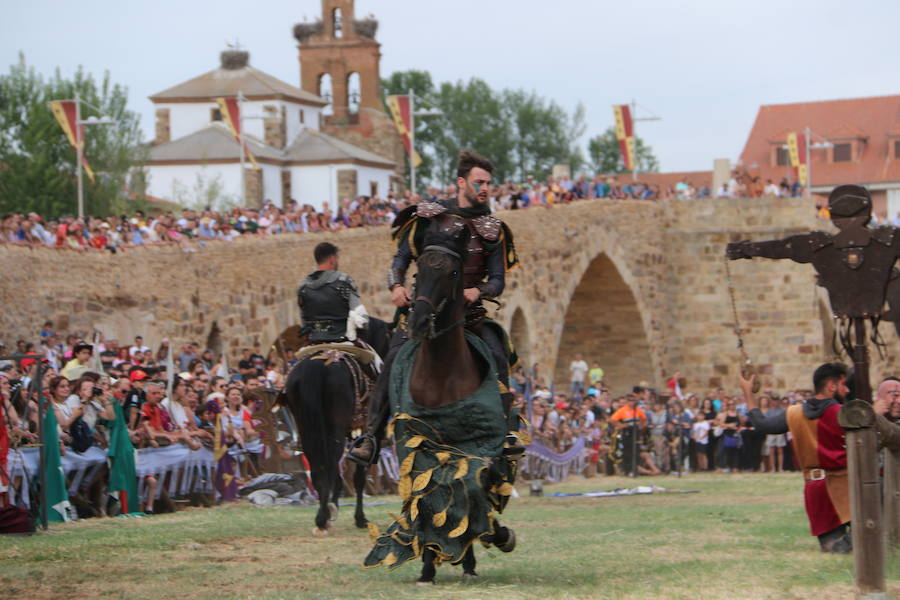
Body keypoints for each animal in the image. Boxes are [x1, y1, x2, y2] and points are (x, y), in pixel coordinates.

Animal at [284, 316, 390, 536]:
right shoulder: (366, 433)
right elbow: (358, 476)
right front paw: (360, 519)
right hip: (335, 428)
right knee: (331, 463)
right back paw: (325, 516)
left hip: (308, 428)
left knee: (320, 466)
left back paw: (323, 515)